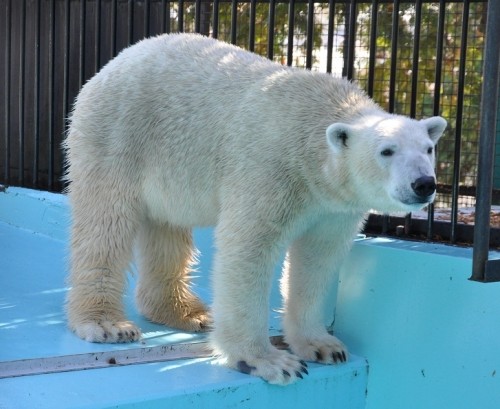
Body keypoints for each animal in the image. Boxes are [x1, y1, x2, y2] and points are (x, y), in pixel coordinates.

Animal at [63, 31, 446, 382]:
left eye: (428, 148)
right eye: (387, 151)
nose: (424, 184)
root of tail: (111, 65)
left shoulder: (333, 207)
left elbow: (317, 258)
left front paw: (323, 345)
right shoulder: (271, 169)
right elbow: (247, 250)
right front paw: (268, 361)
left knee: (167, 228)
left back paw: (187, 313)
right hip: (119, 135)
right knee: (106, 223)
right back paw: (107, 324)